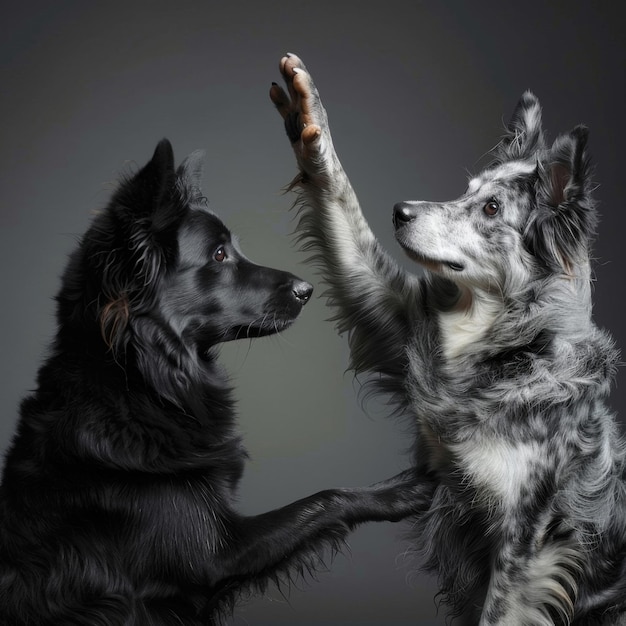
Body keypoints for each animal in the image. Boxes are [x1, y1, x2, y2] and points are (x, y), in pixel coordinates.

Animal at [0, 139, 428, 620]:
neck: (141, 384)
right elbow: (325, 497)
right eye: (219, 256)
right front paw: (402, 491)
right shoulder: (213, 556)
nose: (307, 290)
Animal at [270, 54, 624, 624]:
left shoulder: (527, 547)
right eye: (467, 191)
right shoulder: (393, 323)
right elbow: (345, 213)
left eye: (491, 208)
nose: (400, 211)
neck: (502, 349)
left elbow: (499, 610)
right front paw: (309, 117)